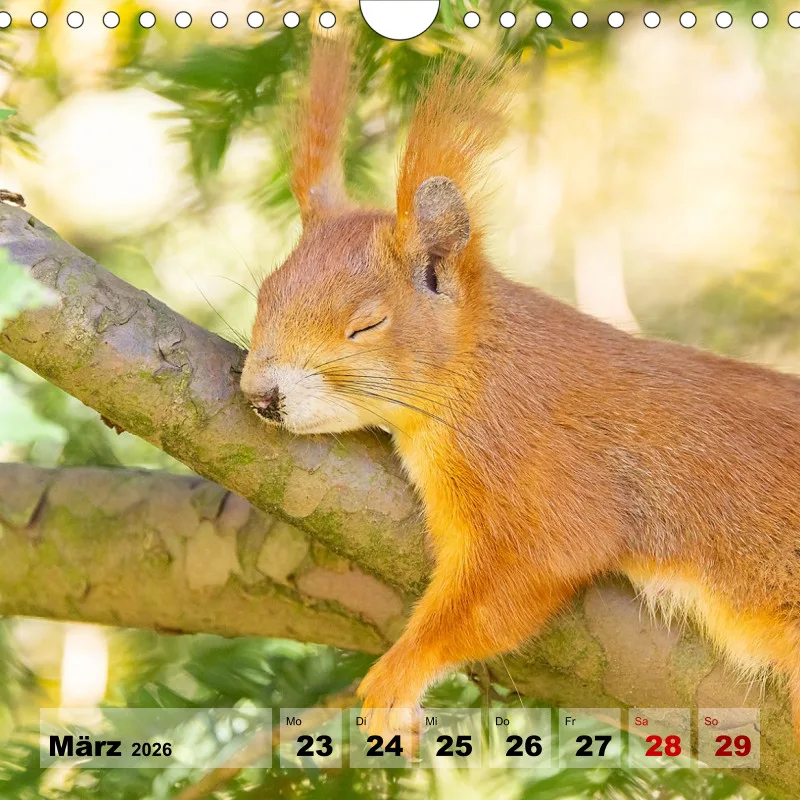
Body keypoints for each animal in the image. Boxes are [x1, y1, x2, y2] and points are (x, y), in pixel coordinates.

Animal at [240, 35, 800, 750]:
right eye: (263, 296)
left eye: (366, 324)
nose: (261, 395)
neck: (480, 370)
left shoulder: (537, 470)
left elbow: (523, 574)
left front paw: (397, 675)